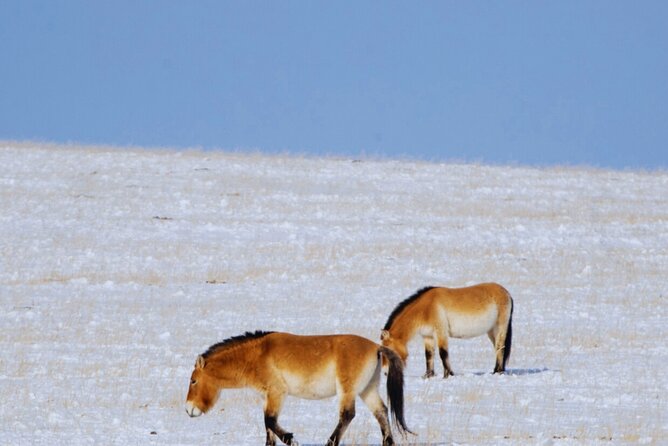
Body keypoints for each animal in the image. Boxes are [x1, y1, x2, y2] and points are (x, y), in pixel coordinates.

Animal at [185, 330, 412, 446]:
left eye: (193, 380)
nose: (188, 409)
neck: (257, 355)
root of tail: (376, 347)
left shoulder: (277, 393)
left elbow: (270, 421)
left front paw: (291, 439)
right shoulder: (268, 397)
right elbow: (268, 428)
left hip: (347, 391)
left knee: (347, 415)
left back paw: (330, 443)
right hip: (367, 390)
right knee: (381, 412)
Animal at [380, 283, 514, 378]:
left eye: (387, 350)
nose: (385, 372)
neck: (426, 309)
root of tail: (506, 292)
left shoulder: (441, 333)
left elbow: (443, 353)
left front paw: (448, 374)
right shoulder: (428, 337)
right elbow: (429, 355)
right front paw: (428, 375)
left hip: (500, 327)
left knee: (500, 347)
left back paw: (498, 372)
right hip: (491, 331)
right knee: (497, 348)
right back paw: (496, 370)